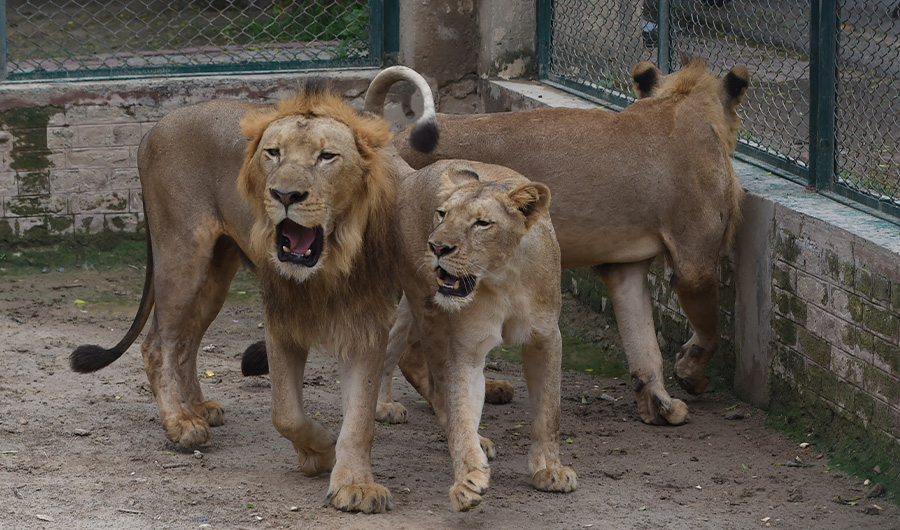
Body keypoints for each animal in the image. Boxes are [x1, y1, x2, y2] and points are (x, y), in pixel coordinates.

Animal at [67, 66, 439, 513]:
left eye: (327, 157)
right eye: (273, 153)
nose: (285, 194)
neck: (329, 264)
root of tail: (153, 128)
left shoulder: (366, 323)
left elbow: (360, 417)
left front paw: (355, 485)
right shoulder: (280, 318)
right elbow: (287, 414)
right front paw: (319, 451)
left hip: (216, 271)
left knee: (186, 340)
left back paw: (198, 407)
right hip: (182, 253)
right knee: (158, 342)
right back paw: (181, 422)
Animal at [379, 60, 750, 427]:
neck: (681, 101)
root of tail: (395, 140)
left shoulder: (623, 268)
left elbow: (643, 342)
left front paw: (658, 404)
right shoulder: (695, 264)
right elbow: (710, 328)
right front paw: (690, 373)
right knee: (409, 347)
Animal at [385, 159, 576, 511]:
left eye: (482, 223)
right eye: (442, 214)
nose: (437, 247)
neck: (505, 280)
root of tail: (414, 173)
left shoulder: (546, 338)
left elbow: (549, 411)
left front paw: (550, 470)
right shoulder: (467, 347)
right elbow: (461, 409)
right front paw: (467, 480)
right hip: (427, 309)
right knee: (431, 378)